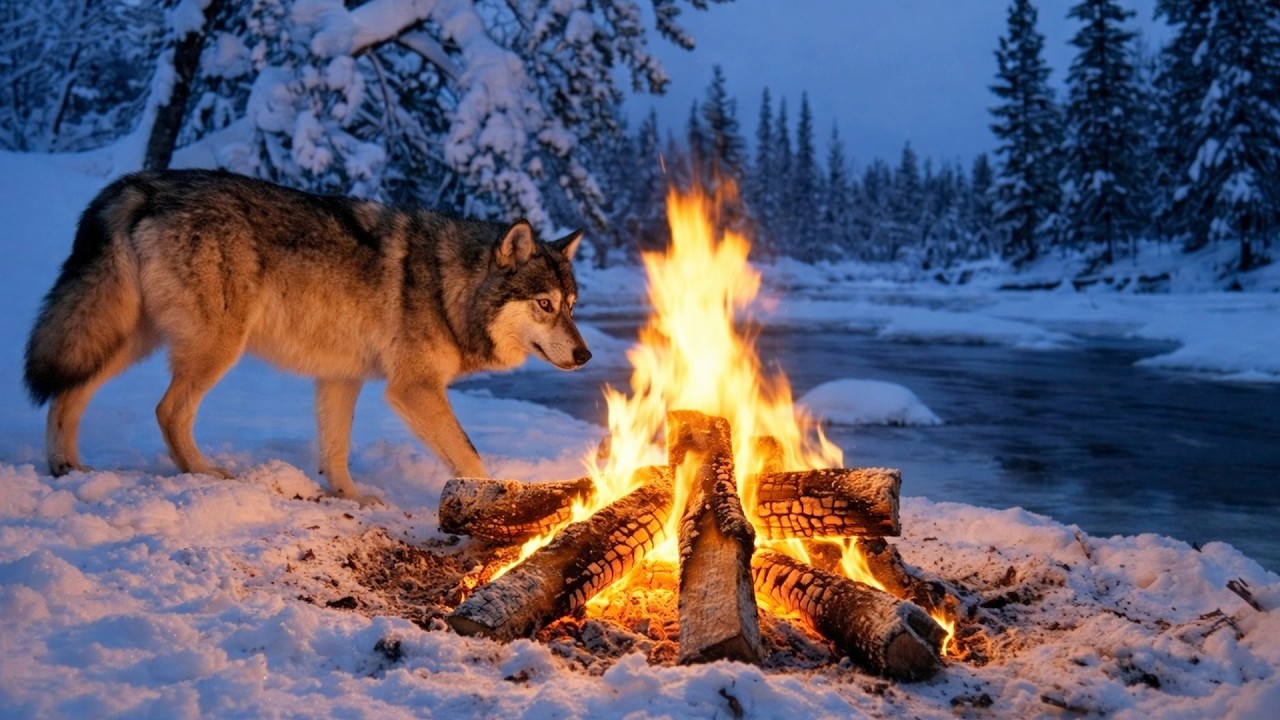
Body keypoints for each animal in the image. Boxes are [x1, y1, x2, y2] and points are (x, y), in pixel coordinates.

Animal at [23, 169, 591, 501]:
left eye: (572, 306)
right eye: (544, 305)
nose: (585, 354)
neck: (447, 285)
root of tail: (145, 183)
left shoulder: (341, 378)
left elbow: (335, 450)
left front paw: (349, 497)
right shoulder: (413, 389)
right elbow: (470, 455)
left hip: (127, 337)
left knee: (68, 392)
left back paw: (67, 468)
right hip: (213, 348)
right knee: (168, 411)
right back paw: (203, 473)